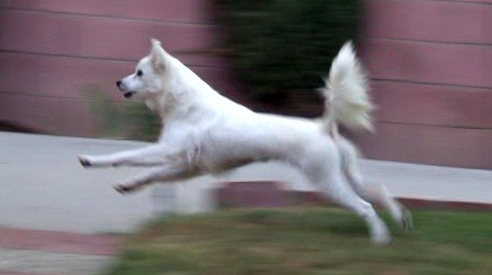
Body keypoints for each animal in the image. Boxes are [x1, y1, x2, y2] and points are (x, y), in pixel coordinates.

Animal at [80, 39, 412, 246]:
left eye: (139, 73)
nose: (118, 82)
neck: (186, 103)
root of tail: (323, 127)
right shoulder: (185, 167)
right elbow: (149, 174)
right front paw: (128, 185)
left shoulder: (168, 151)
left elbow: (127, 155)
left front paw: (91, 161)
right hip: (345, 175)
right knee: (377, 190)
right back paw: (401, 219)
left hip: (327, 181)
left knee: (365, 206)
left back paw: (380, 238)